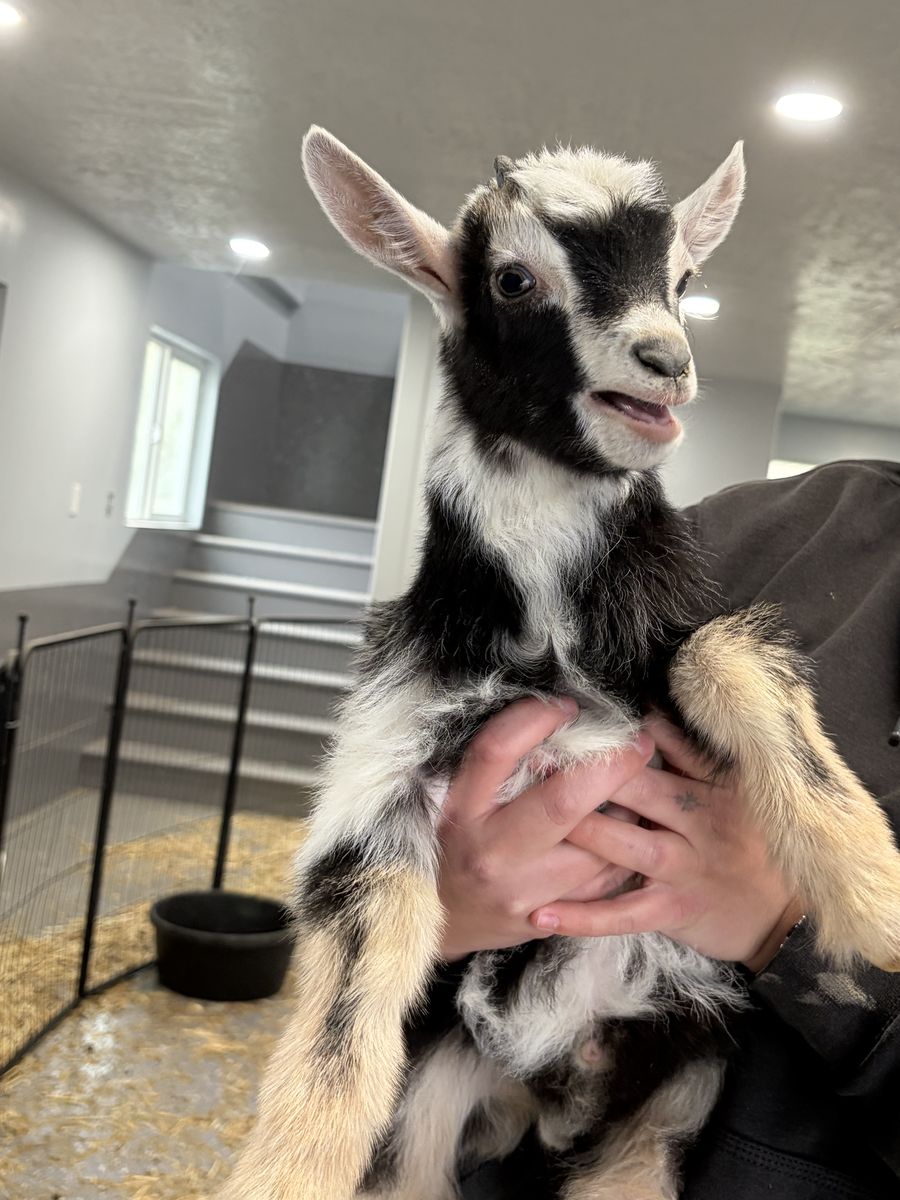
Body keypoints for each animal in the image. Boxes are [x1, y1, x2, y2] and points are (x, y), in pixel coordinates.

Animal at [219, 129, 900, 1200]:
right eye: (513, 278)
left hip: (668, 1095)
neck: (551, 637)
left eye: (683, 277)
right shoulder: (387, 747)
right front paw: (283, 1176)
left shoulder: (679, 634)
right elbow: (346, 993)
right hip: (442, 1083)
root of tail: (556, 1084)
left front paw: (877, 898)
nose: (667, 361)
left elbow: (725, 650)